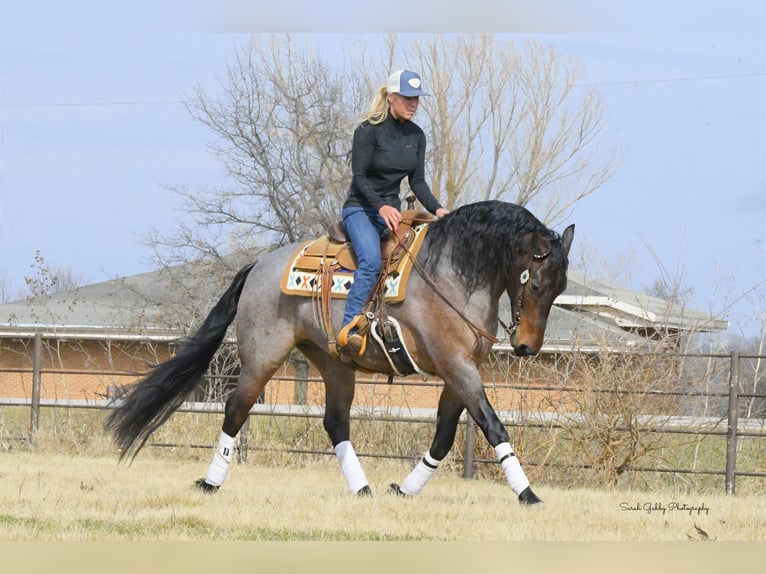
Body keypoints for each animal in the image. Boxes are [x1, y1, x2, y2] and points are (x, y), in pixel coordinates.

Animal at [108, 202, 576, 508]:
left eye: (561, 289)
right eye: (535, 284)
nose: (528, 347)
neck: (453, 273)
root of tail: (258, 266)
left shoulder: (460, 370)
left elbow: (444, 436)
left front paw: (405, 489)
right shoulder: (456, 366)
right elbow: (493, 425)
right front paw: (528, 493)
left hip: (333, 364)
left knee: (335, 422)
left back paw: (362, 488)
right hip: (262, 358)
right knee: (235, 410)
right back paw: (211, 482)